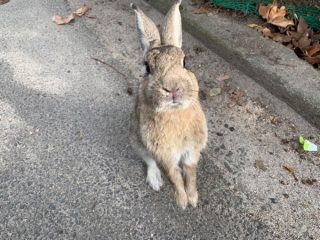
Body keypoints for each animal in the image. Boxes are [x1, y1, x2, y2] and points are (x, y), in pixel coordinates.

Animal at [130, 0, 208, 209]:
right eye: (147, 68)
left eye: (185, 62)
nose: (172, 88)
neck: (174, 112)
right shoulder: (163, 154)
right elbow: (173, 176)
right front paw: (182, 201)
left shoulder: (191, 151)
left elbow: (190, 172)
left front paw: (193, 198)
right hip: (137, 142)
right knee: (149, 162)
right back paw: (155, 182)